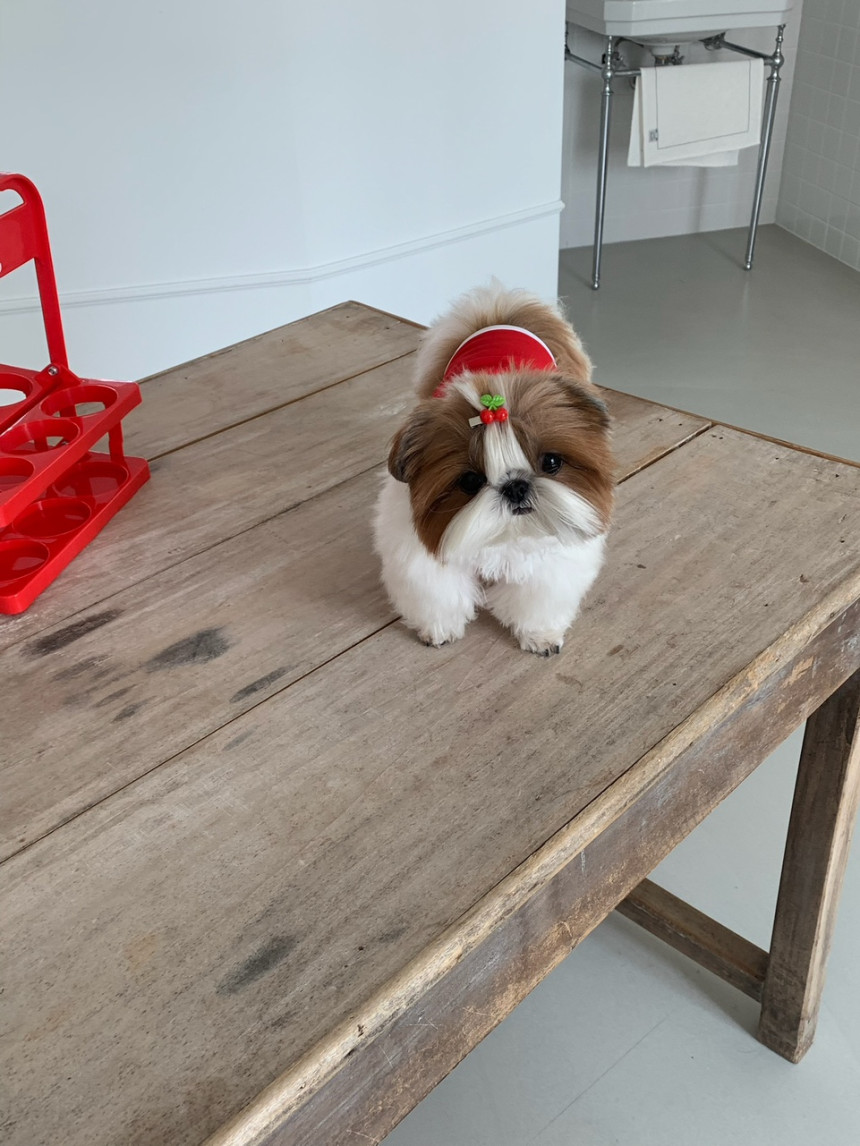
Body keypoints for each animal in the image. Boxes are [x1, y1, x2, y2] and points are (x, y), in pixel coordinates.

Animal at [373, 284, 614, 655]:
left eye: (551, 462)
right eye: (471, 481)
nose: (515, 486)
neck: (505, 535)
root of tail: (498, 311)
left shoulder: (554, 555)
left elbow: (540, 595)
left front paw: (540, 634)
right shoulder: (417, 552)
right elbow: (438, 592)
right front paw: (439, 628)